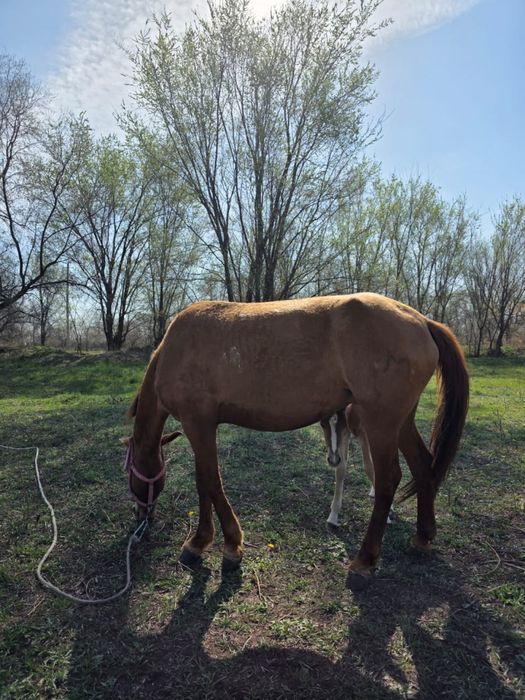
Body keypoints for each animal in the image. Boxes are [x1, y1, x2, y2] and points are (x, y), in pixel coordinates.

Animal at [122, 292, 469, 590]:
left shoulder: (198, 423)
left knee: (387, 481)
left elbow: (210, 481)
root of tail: (422, 320)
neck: (175, 349)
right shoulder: (201, 427)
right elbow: (203, 482)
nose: (140, 516)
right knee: (423, 465)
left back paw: (364, 561)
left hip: (381, 422)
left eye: (129, 473)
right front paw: (199, 542)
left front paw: (229, 544)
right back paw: (423, 538)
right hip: (401, 421)